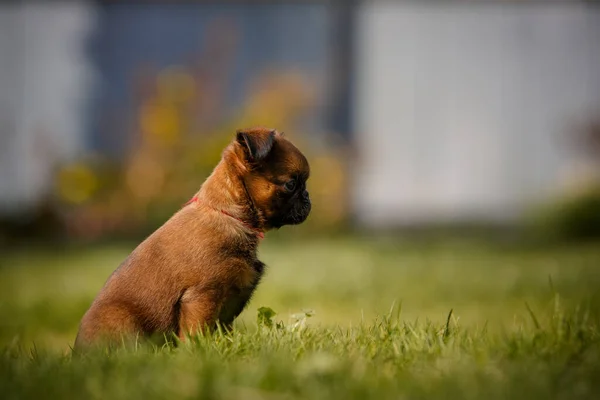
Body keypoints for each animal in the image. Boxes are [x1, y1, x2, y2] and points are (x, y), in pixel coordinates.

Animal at [72, 127, 312, 346]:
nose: (307, 196)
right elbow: (196, 334)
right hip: (122, 320)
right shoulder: (202, 297)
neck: (228, 214)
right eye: (291, 184)